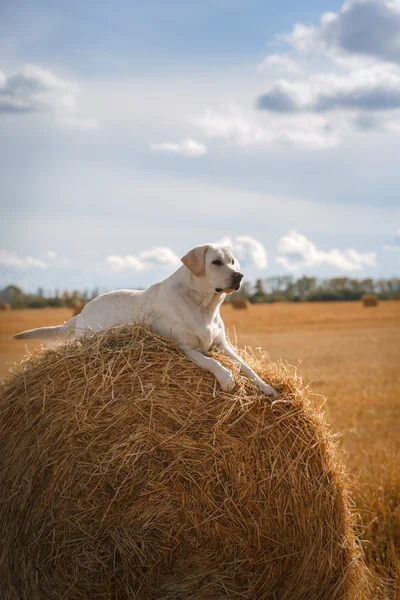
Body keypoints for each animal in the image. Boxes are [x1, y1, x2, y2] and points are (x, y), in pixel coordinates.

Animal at [13, 244, 278, 398]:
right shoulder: (185, 347)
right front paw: (226, 378)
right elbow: (210, 363)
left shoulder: (223, 344)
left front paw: (268, 388)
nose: (239, 276)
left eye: (233, 261)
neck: (203, 306)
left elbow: (248, 368)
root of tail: (80, 313)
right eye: (216, 262)